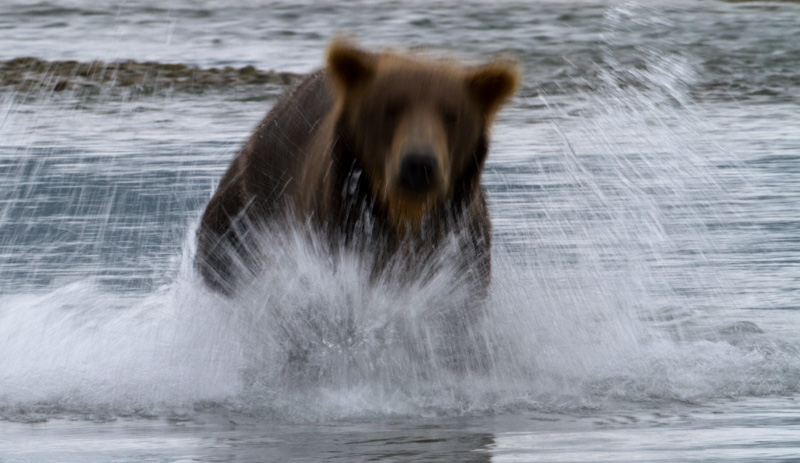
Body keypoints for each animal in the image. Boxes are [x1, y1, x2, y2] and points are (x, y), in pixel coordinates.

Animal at [194, 39, 520, 300]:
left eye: (452, 115)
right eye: (390, 108)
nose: (419, 164)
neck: (403, 215)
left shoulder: (460, 249)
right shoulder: (338, 227)